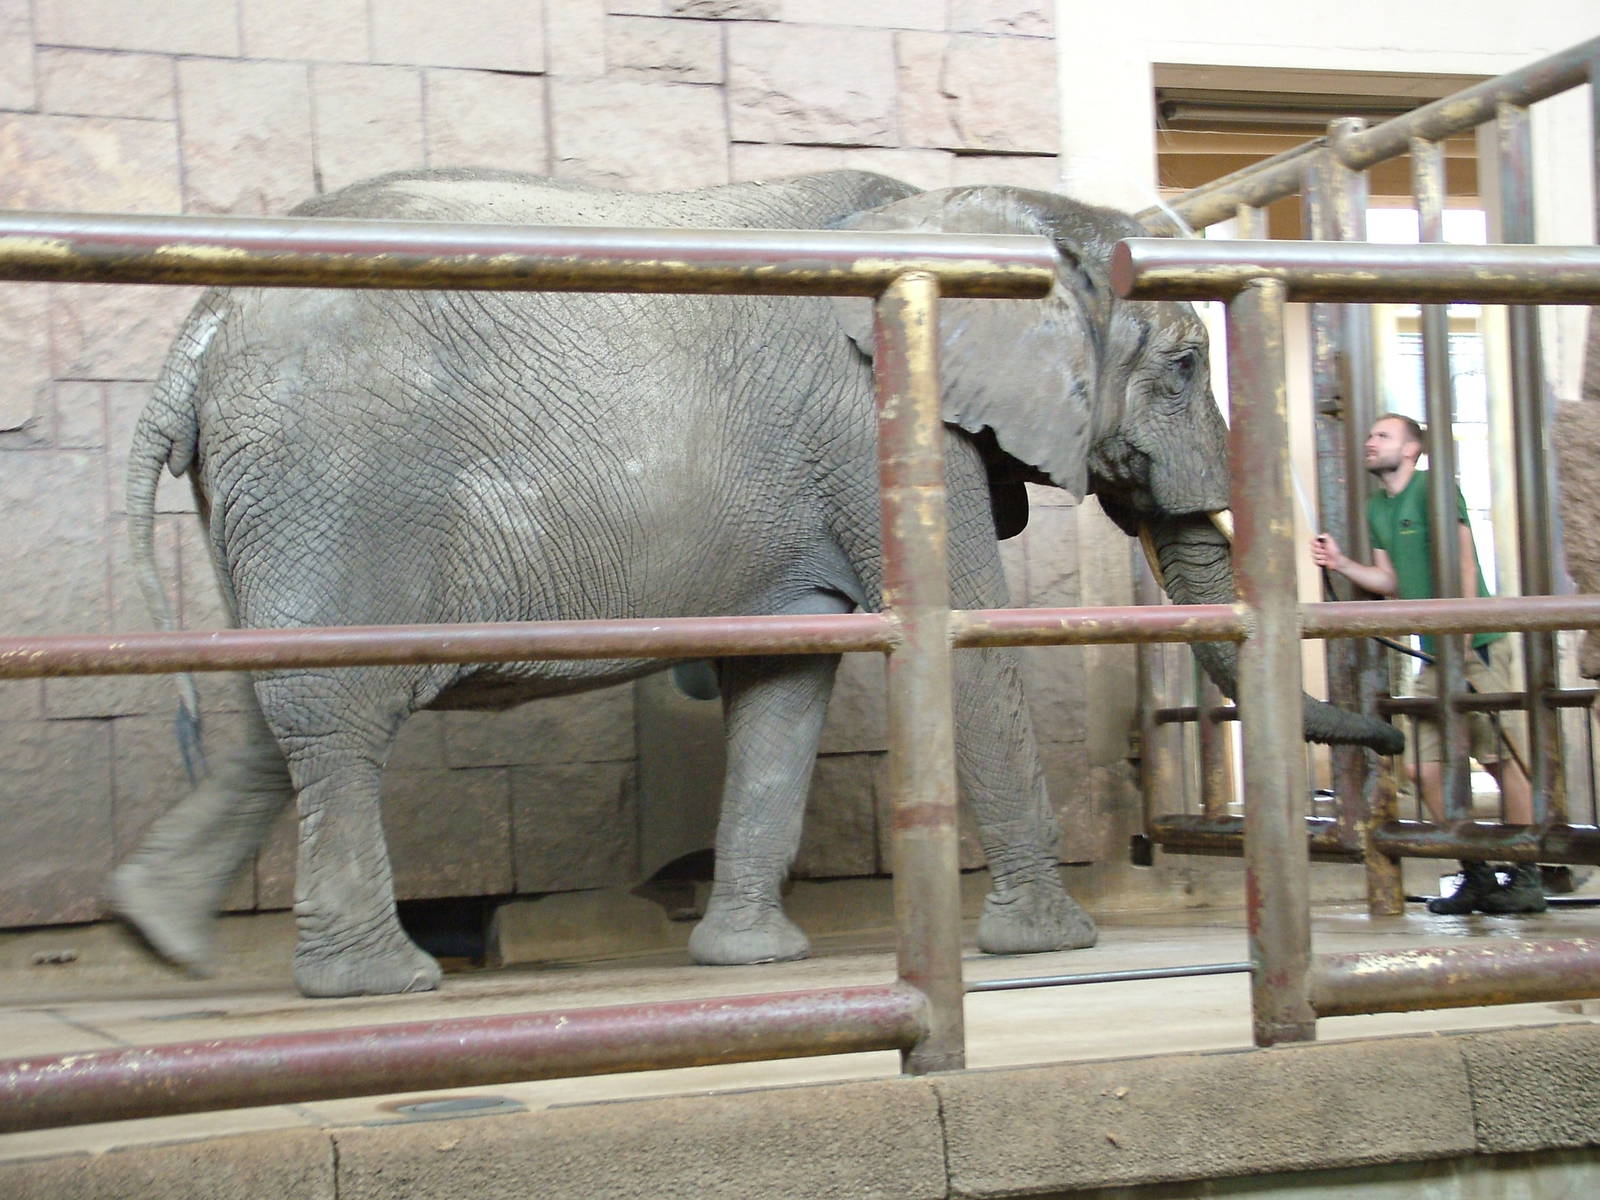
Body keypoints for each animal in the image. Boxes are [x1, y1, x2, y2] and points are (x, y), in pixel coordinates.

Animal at [110, 168, 1403, 999]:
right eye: (1183, 367)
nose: (1393, 730)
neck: (989, 208)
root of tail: (202, 323)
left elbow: (785, 682)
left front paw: (751, 964)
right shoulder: (881, 417)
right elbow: (964, 637)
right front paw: (1054, 949)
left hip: (280, 502)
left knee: (274, 714)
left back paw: (158, 936)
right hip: (333, 478)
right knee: (335, 714)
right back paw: (379, 986)